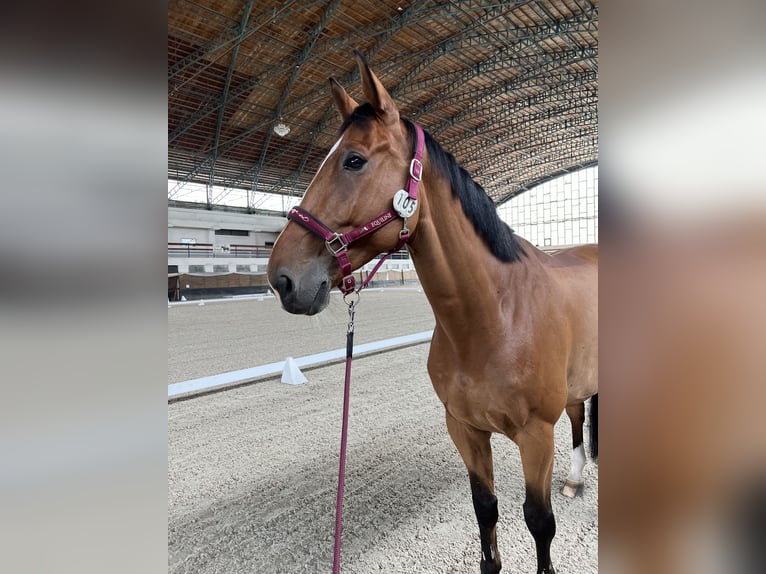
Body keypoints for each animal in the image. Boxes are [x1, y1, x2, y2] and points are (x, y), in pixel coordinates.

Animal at [267, 51, 598, 574]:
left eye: (354, 160)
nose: (282, 278)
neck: (494, 318)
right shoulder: (464, 429)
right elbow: (486, 511)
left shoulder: (535, 436)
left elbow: (539, 522)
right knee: (579, 414)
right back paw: (576, 480)